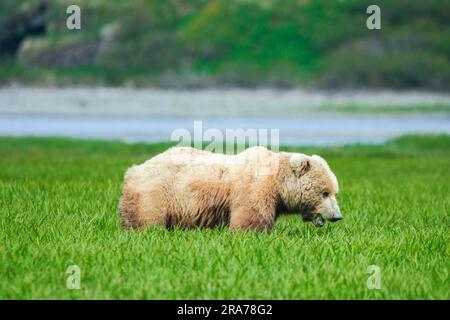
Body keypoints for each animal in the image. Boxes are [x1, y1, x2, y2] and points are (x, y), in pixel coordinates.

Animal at [118, 146, 342, 231]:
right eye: (324, 192)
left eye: (334, 192)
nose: (337, 216)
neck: (278, 185)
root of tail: (133, 170)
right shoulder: (254, 189)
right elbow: (250, 218)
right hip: (156, 193)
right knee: (148, 220)